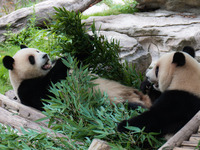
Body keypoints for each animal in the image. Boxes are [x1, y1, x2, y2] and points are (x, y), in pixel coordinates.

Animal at [2, 45, 152, 111]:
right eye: (31, 59)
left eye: (37, 50)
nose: (45, 55)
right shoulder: (28, 88)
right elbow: (50, 92)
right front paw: (63, 59)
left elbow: (79, 60)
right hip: (115, 103)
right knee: (130, 108)